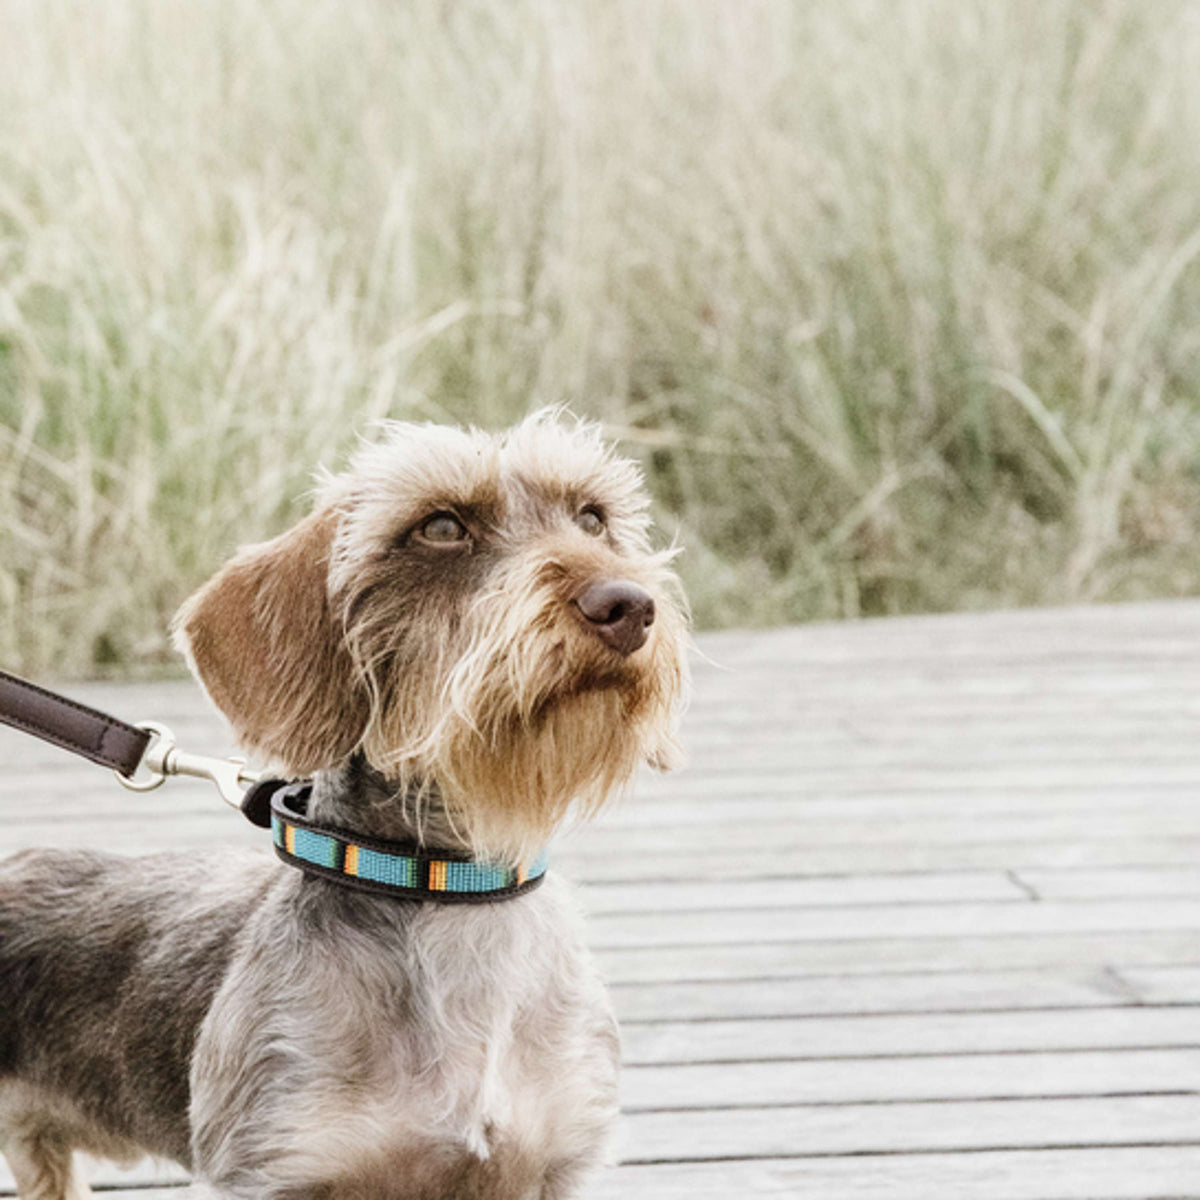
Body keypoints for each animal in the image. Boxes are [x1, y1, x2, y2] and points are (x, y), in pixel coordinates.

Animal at [0, 415, 691, 1200]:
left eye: (592, 518)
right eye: (441, 526)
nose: (628, 605)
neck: (442, 888)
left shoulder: (554, 1163)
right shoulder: (275, 1167)